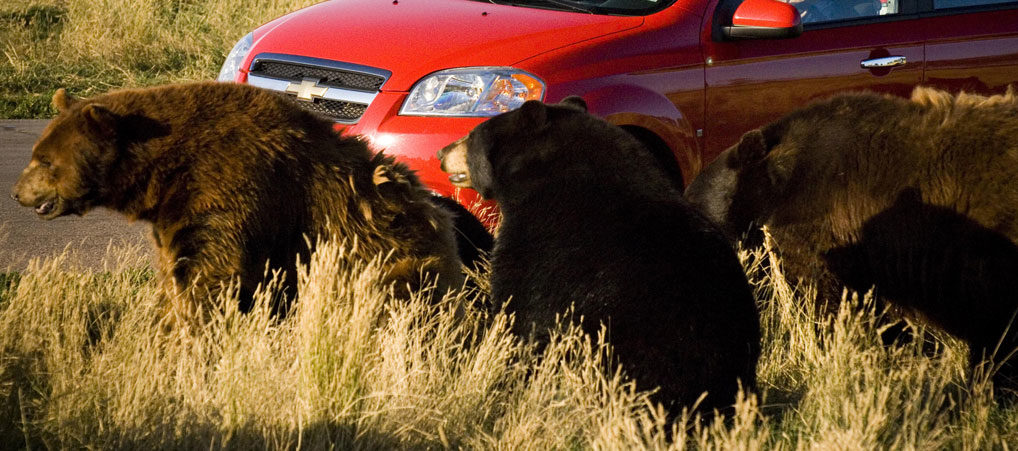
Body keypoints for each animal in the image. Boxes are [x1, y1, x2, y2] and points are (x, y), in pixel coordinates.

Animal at [11, 81, 470, 322]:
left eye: (45, 160)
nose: (17, 192)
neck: (165, 171)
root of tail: (440, 220)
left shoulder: (229, 187)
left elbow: (210, 273)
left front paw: (191, 324)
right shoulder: (175, 213)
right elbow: (176, 268)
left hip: (388, 257)